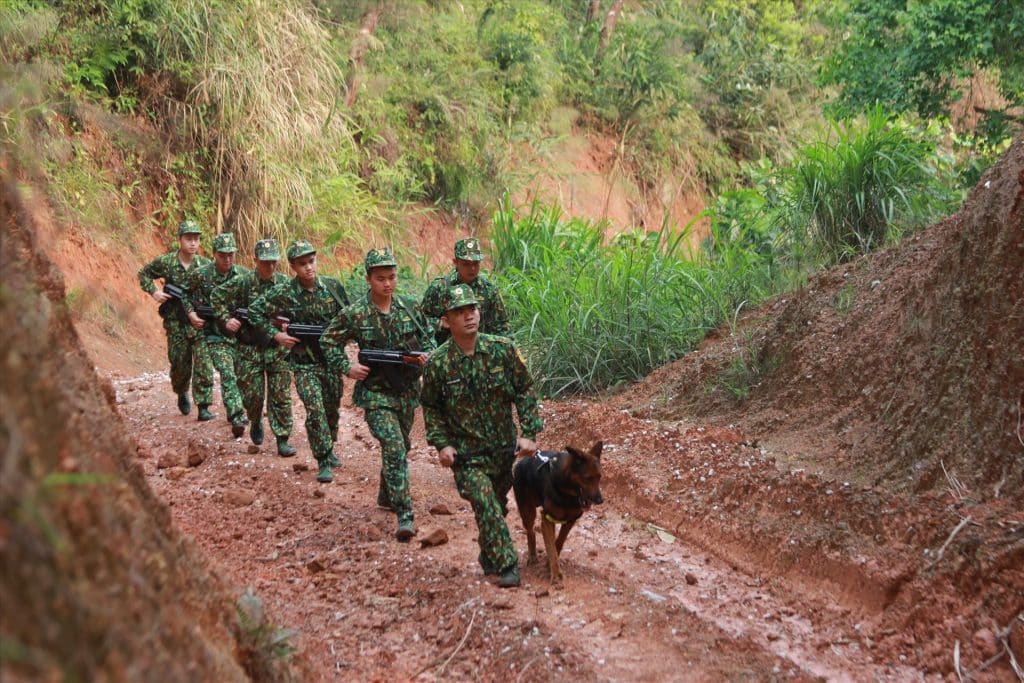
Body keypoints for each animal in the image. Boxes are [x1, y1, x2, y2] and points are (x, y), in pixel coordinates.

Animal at [509, 444, 598, 581]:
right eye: (588, 478)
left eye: (600, 477)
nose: (600, 499)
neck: (567, 494)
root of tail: (522, 461)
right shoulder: (547, 519)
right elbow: (551, 547)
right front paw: (555, 574)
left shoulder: (570, 520)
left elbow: (558, 543)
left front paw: (549, 564)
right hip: (527, 511)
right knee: (530, 531)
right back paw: (532, 556)